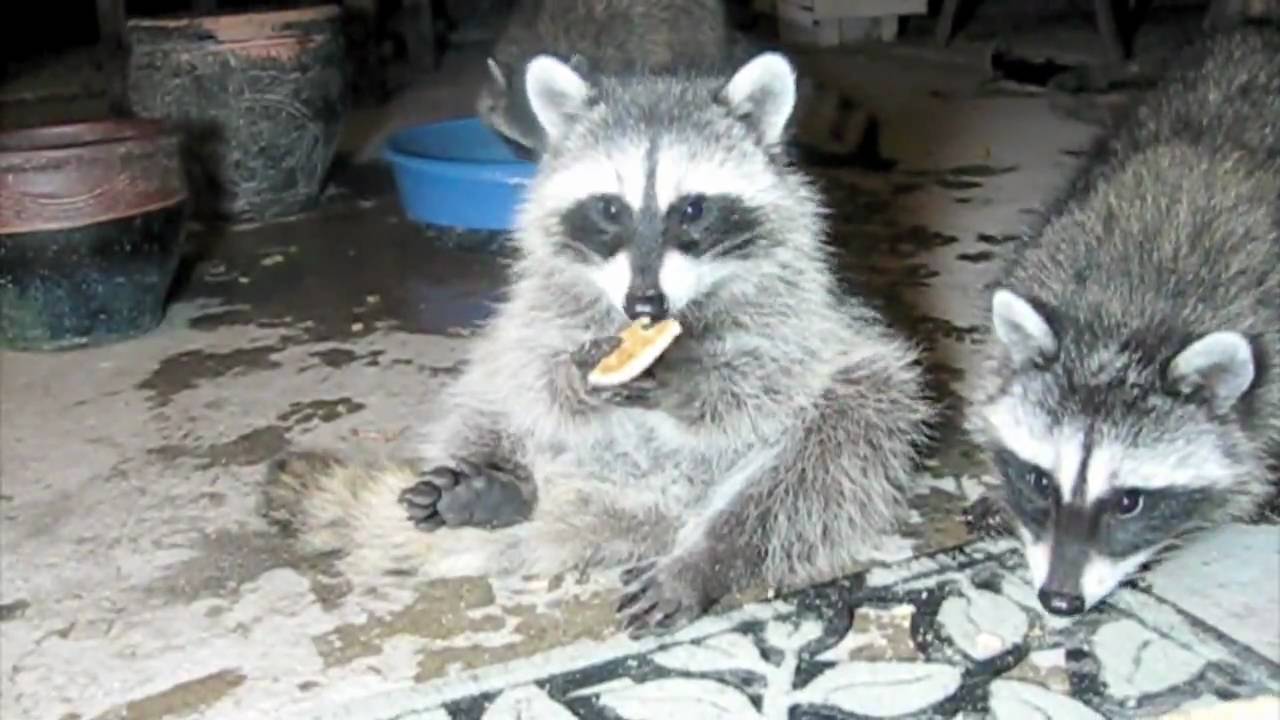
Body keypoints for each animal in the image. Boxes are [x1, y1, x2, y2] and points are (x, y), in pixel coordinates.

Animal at [265, 51, 933, 635]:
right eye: (611, 209)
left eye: (692, 210)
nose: (645, 305)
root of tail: (639, 506)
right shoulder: (545, 296)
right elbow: (534, 361)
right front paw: (571, 383)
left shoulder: (806, 302)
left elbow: (777, 372)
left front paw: (690, 379)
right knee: (492, 380)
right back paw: (501, 483)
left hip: (846, 414)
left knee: (839, 438)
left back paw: (712, 553)